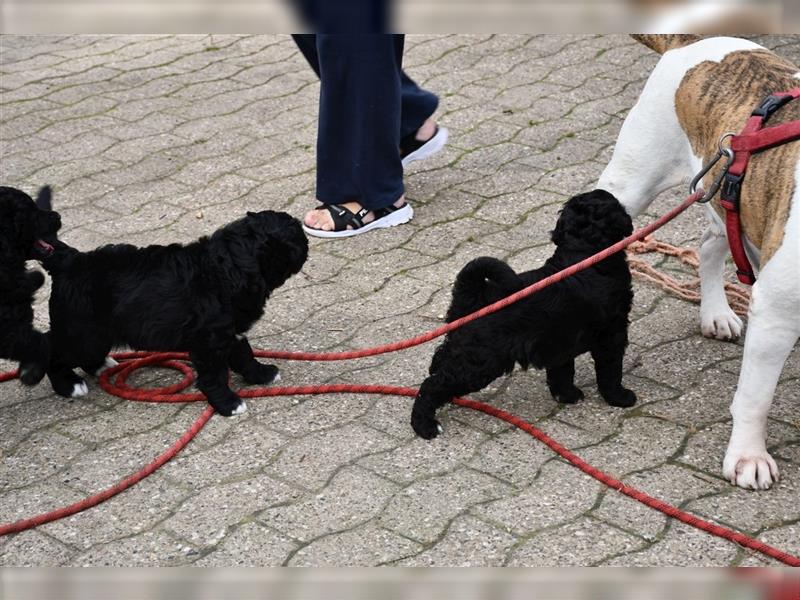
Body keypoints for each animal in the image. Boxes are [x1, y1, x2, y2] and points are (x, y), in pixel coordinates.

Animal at [36, 192, 308, 418]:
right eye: (297, 236)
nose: (306, 237)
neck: (229, 266)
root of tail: (70, 261)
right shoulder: (210, 342)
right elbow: (215, 375)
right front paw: (228, 403)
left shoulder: (231, 331)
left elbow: (244, 354)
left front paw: (261, 374)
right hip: (82, 332)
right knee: (53, 351)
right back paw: (69, 385)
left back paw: (101, 365)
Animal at [412, 190, 636, 438]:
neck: (582, 254)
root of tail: (475, 294)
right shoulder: (612, 332)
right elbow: (610, 370)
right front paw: (620, 397)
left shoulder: (560, 338)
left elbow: (562, 370)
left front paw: (567, 395)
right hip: (480, 360)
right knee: (432, 385)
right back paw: (425, 425)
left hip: (465, 345)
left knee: (440, 359)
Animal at [600, 35, 800, 490]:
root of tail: (694, 40)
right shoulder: (778, 310)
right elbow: (756, 397)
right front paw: (747, 457)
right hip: (631, 181)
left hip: (726, 196)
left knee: (709, 247)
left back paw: (716, 314)